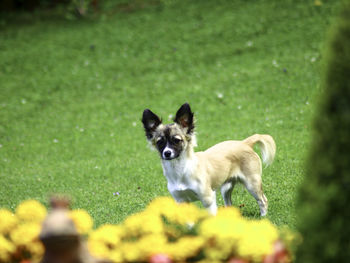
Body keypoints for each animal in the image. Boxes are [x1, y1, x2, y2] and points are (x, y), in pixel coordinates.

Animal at [141, 103, 274, 217]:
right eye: (160, 142)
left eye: (177, 140)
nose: (167, 153)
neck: (180, 170)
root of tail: (245, 143)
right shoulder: (181, 201)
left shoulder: (208, 199)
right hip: (226, 188)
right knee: (229, 203)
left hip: (252, 184)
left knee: (263, 200)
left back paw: (263, 218)